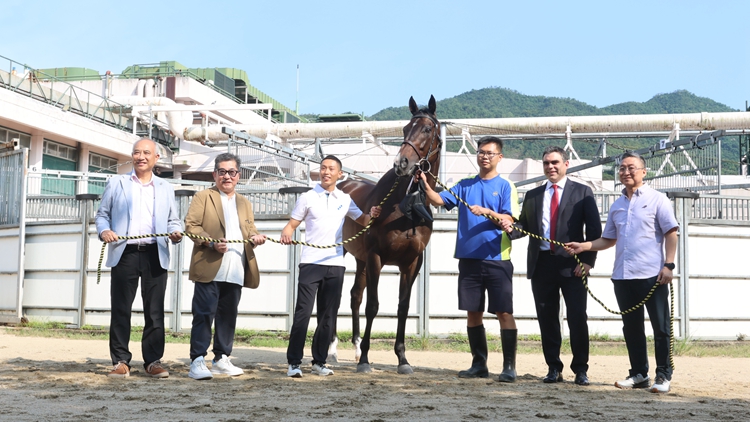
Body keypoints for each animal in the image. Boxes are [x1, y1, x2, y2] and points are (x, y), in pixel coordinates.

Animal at [334, 95, 441, 374]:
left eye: (427, 129)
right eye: (405, 129)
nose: (401, 164)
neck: (404, 207)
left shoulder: (412, 263)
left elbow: (403, 307)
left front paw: (402, 359)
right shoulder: (376, 257)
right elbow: (373, 305)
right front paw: (364, 359)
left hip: (360, 260)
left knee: (355, 295)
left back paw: (355, 345)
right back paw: (333, 350)